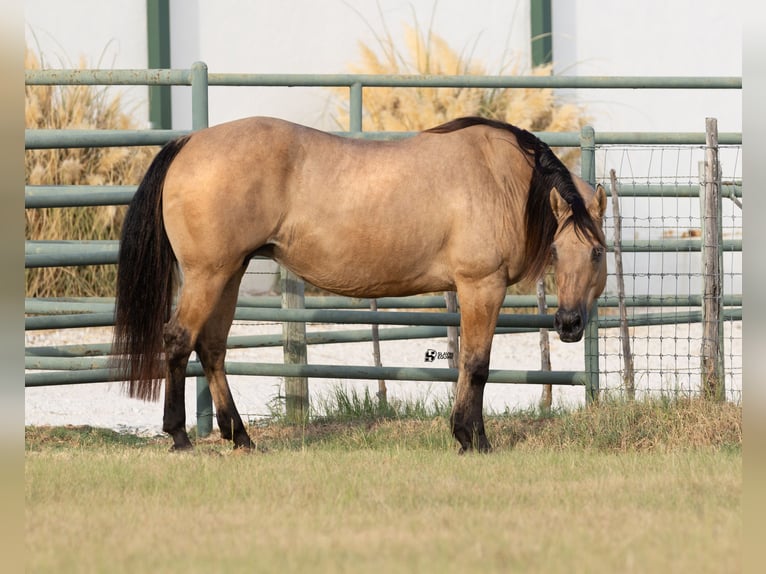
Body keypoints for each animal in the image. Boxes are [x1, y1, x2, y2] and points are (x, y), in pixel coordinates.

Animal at [112, 116, 607, 453]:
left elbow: (468, 364)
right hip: (208, 275)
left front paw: (465, 434)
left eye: (597, 253)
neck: (501, 179)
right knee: (179, 339)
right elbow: (476, 365)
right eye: (557, 252)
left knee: (212, 347)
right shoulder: (481, 286)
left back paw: (241, 437)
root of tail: (189, 141)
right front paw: (473, 439)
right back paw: (179, 435)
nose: (567, 324)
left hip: (228, 275)